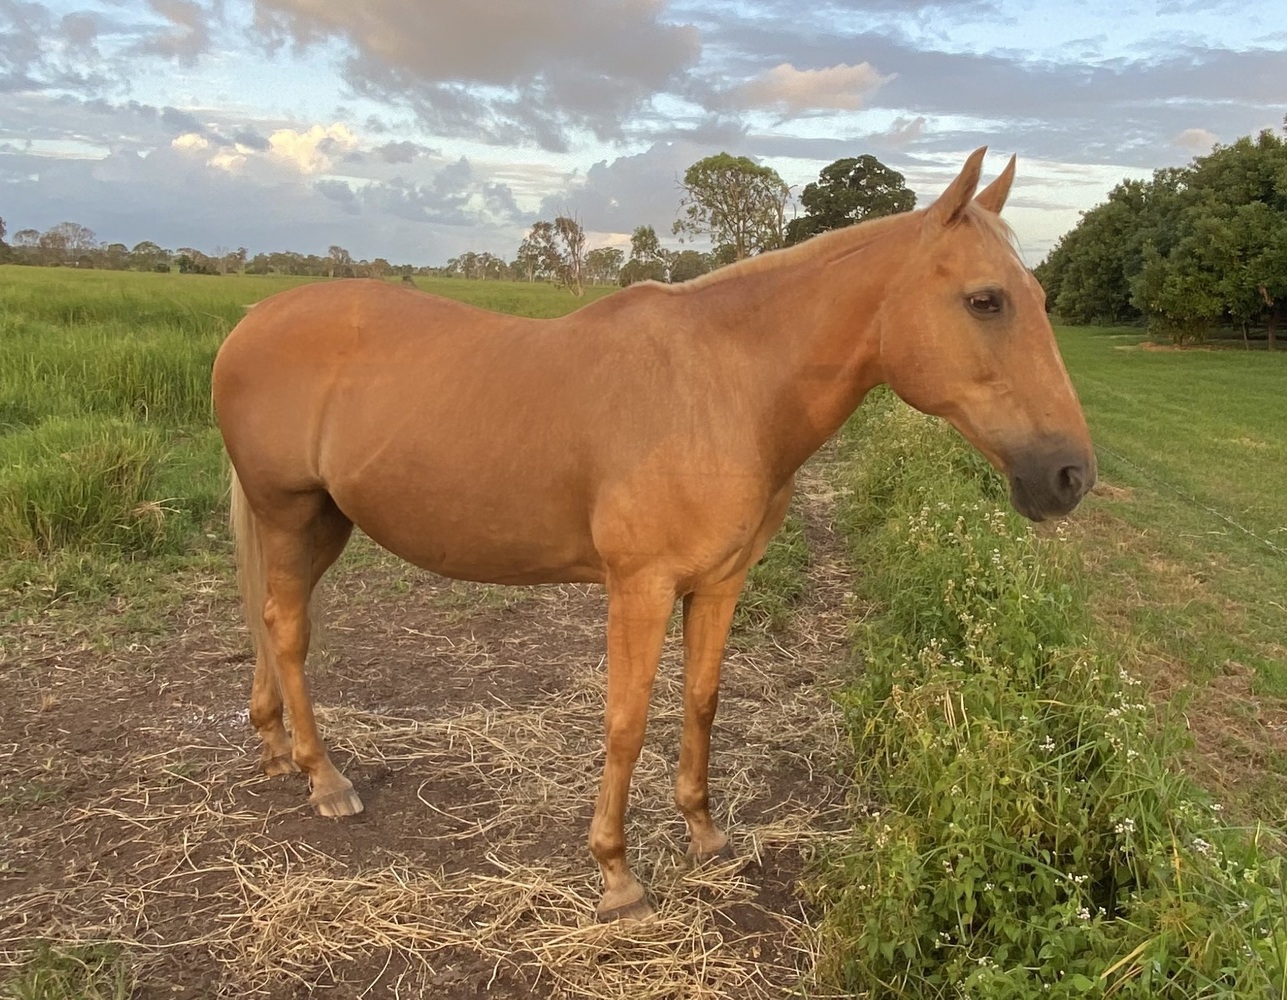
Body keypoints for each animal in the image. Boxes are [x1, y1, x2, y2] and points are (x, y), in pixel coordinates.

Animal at [212, 148, 1095, 922]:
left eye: (1036, 295)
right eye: (985, 300)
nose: (1069, 476)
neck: (725, 387)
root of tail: (255, 318)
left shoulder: (720, 581)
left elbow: (700, 701)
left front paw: (704, 833)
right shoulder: (639, 587)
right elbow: (626, 721)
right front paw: (617, 878)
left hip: (323, 522)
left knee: (271, 623)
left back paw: (275, 751)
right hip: (289, 513)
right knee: (286, 630)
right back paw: (325, 781)